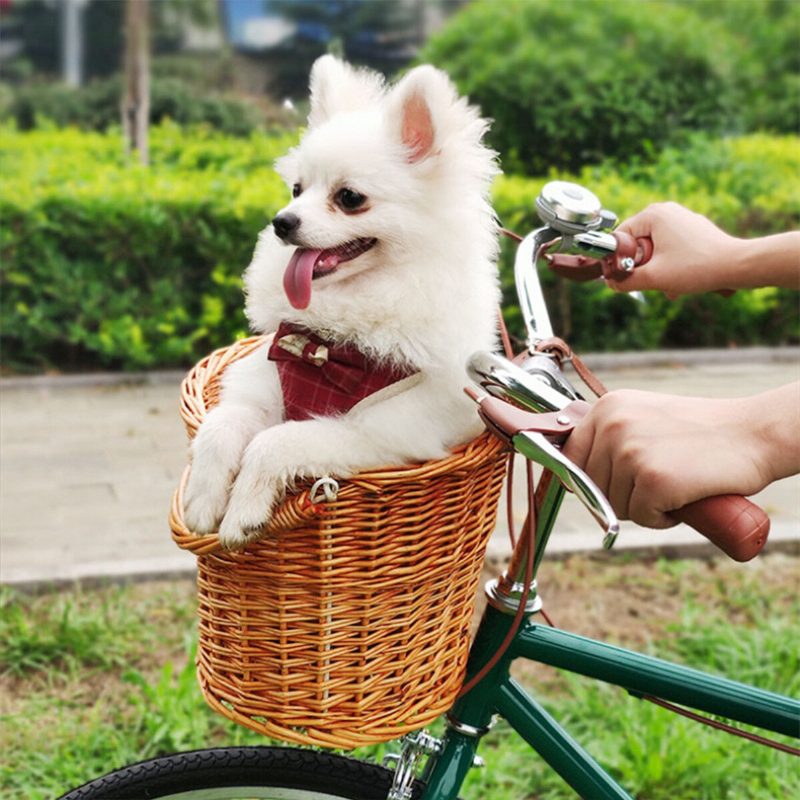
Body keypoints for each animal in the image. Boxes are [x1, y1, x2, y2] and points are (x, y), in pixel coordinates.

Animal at [186, 53, 500, 548]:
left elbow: (275, 441)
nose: (281, 221)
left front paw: (244, 512)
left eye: (349, 197)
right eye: (297, 190)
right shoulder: (267, 384)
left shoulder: (379, 432)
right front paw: (202, 499)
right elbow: (222, 425)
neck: (327, 346)